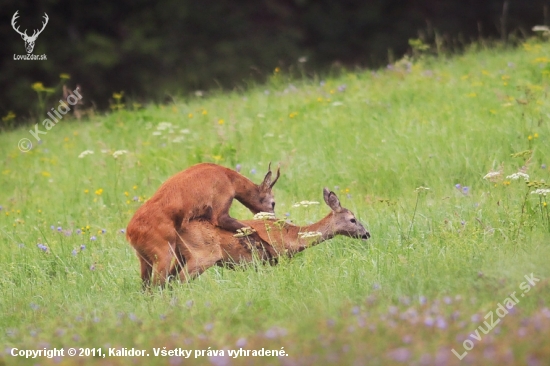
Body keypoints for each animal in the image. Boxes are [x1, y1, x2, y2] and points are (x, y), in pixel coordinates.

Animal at [125, 162, 280, 286]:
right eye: (273, 203)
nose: (272, 218)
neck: (229, 178)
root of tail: (130, 233)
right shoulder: (220, 212)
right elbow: (251, 229)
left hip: (145, 258)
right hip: (163, 255)